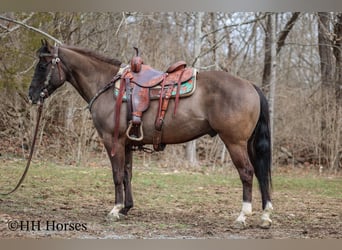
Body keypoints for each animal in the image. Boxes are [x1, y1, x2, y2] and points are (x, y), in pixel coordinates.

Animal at [28, 39, 274, 229]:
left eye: (43, 65)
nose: (31, 95)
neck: (107, 86)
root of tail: (250, 85)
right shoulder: (127, 143)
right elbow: (127, 174)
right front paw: (126, 208)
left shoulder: (112, 140)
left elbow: (117, 174)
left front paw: (115, 209)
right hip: (249, 144)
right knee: (261, 173)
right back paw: (265, 216)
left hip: (235, 142)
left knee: (247, 173)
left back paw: (243, 216)